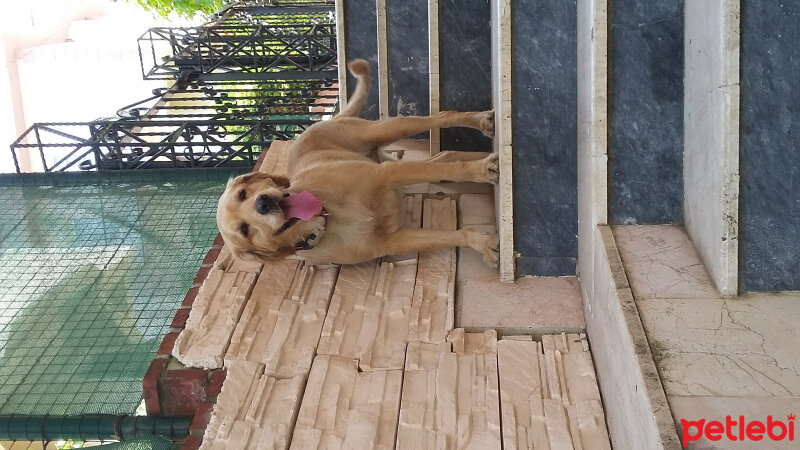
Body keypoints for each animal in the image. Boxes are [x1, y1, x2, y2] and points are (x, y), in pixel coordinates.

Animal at [216, 58, 496, 266]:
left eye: (243, 193)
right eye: (244, 230)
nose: (263, 203)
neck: (329, 217)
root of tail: (330, 119)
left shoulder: (386, 173)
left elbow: (455, 169)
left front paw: (480, 170)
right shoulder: (395, 239)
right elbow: (448, 236)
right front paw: (481, 242)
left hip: (386, 130)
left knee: (442, 118)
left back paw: (481, 122)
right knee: (443, 159)